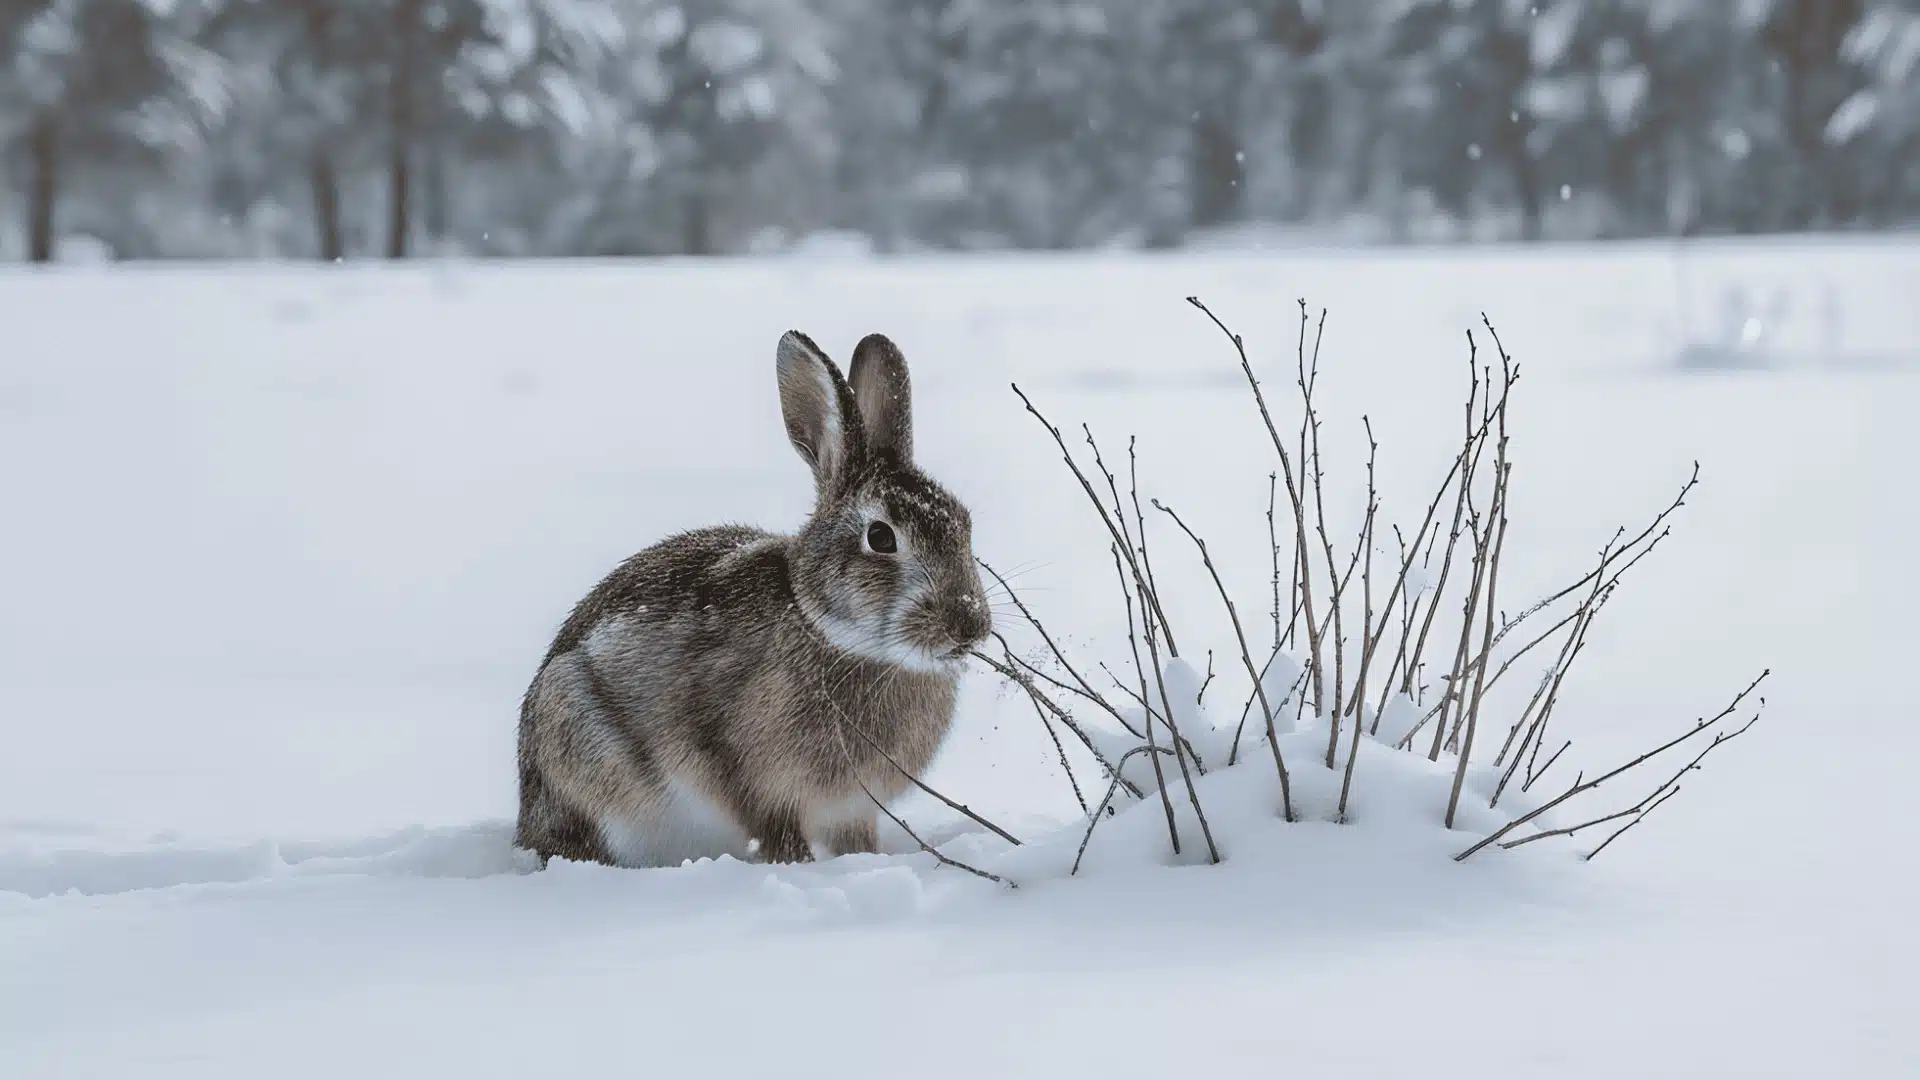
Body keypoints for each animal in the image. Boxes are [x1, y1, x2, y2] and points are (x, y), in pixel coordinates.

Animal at [515, 330, 992, 868]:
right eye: (881, 538)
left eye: (964, 522)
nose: (970, 624)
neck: (835, 635)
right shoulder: (760, 785)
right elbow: (776, 834)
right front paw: (801, 868)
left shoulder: (852, 807)